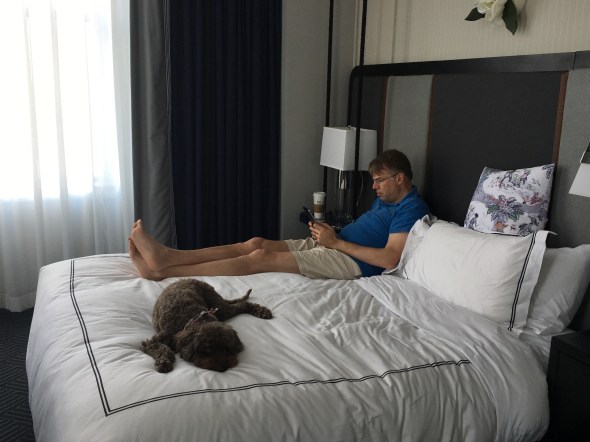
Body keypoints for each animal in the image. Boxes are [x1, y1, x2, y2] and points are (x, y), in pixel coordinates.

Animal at [141, 278, 272, 373]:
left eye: (227, 348)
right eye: (207, 349)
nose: (223, 368)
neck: (192, 319)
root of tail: (186, 279)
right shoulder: (151, 342)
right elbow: (162, 349)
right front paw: (164, 362)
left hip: (220, 307)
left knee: (242, 304)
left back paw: (262, 311)